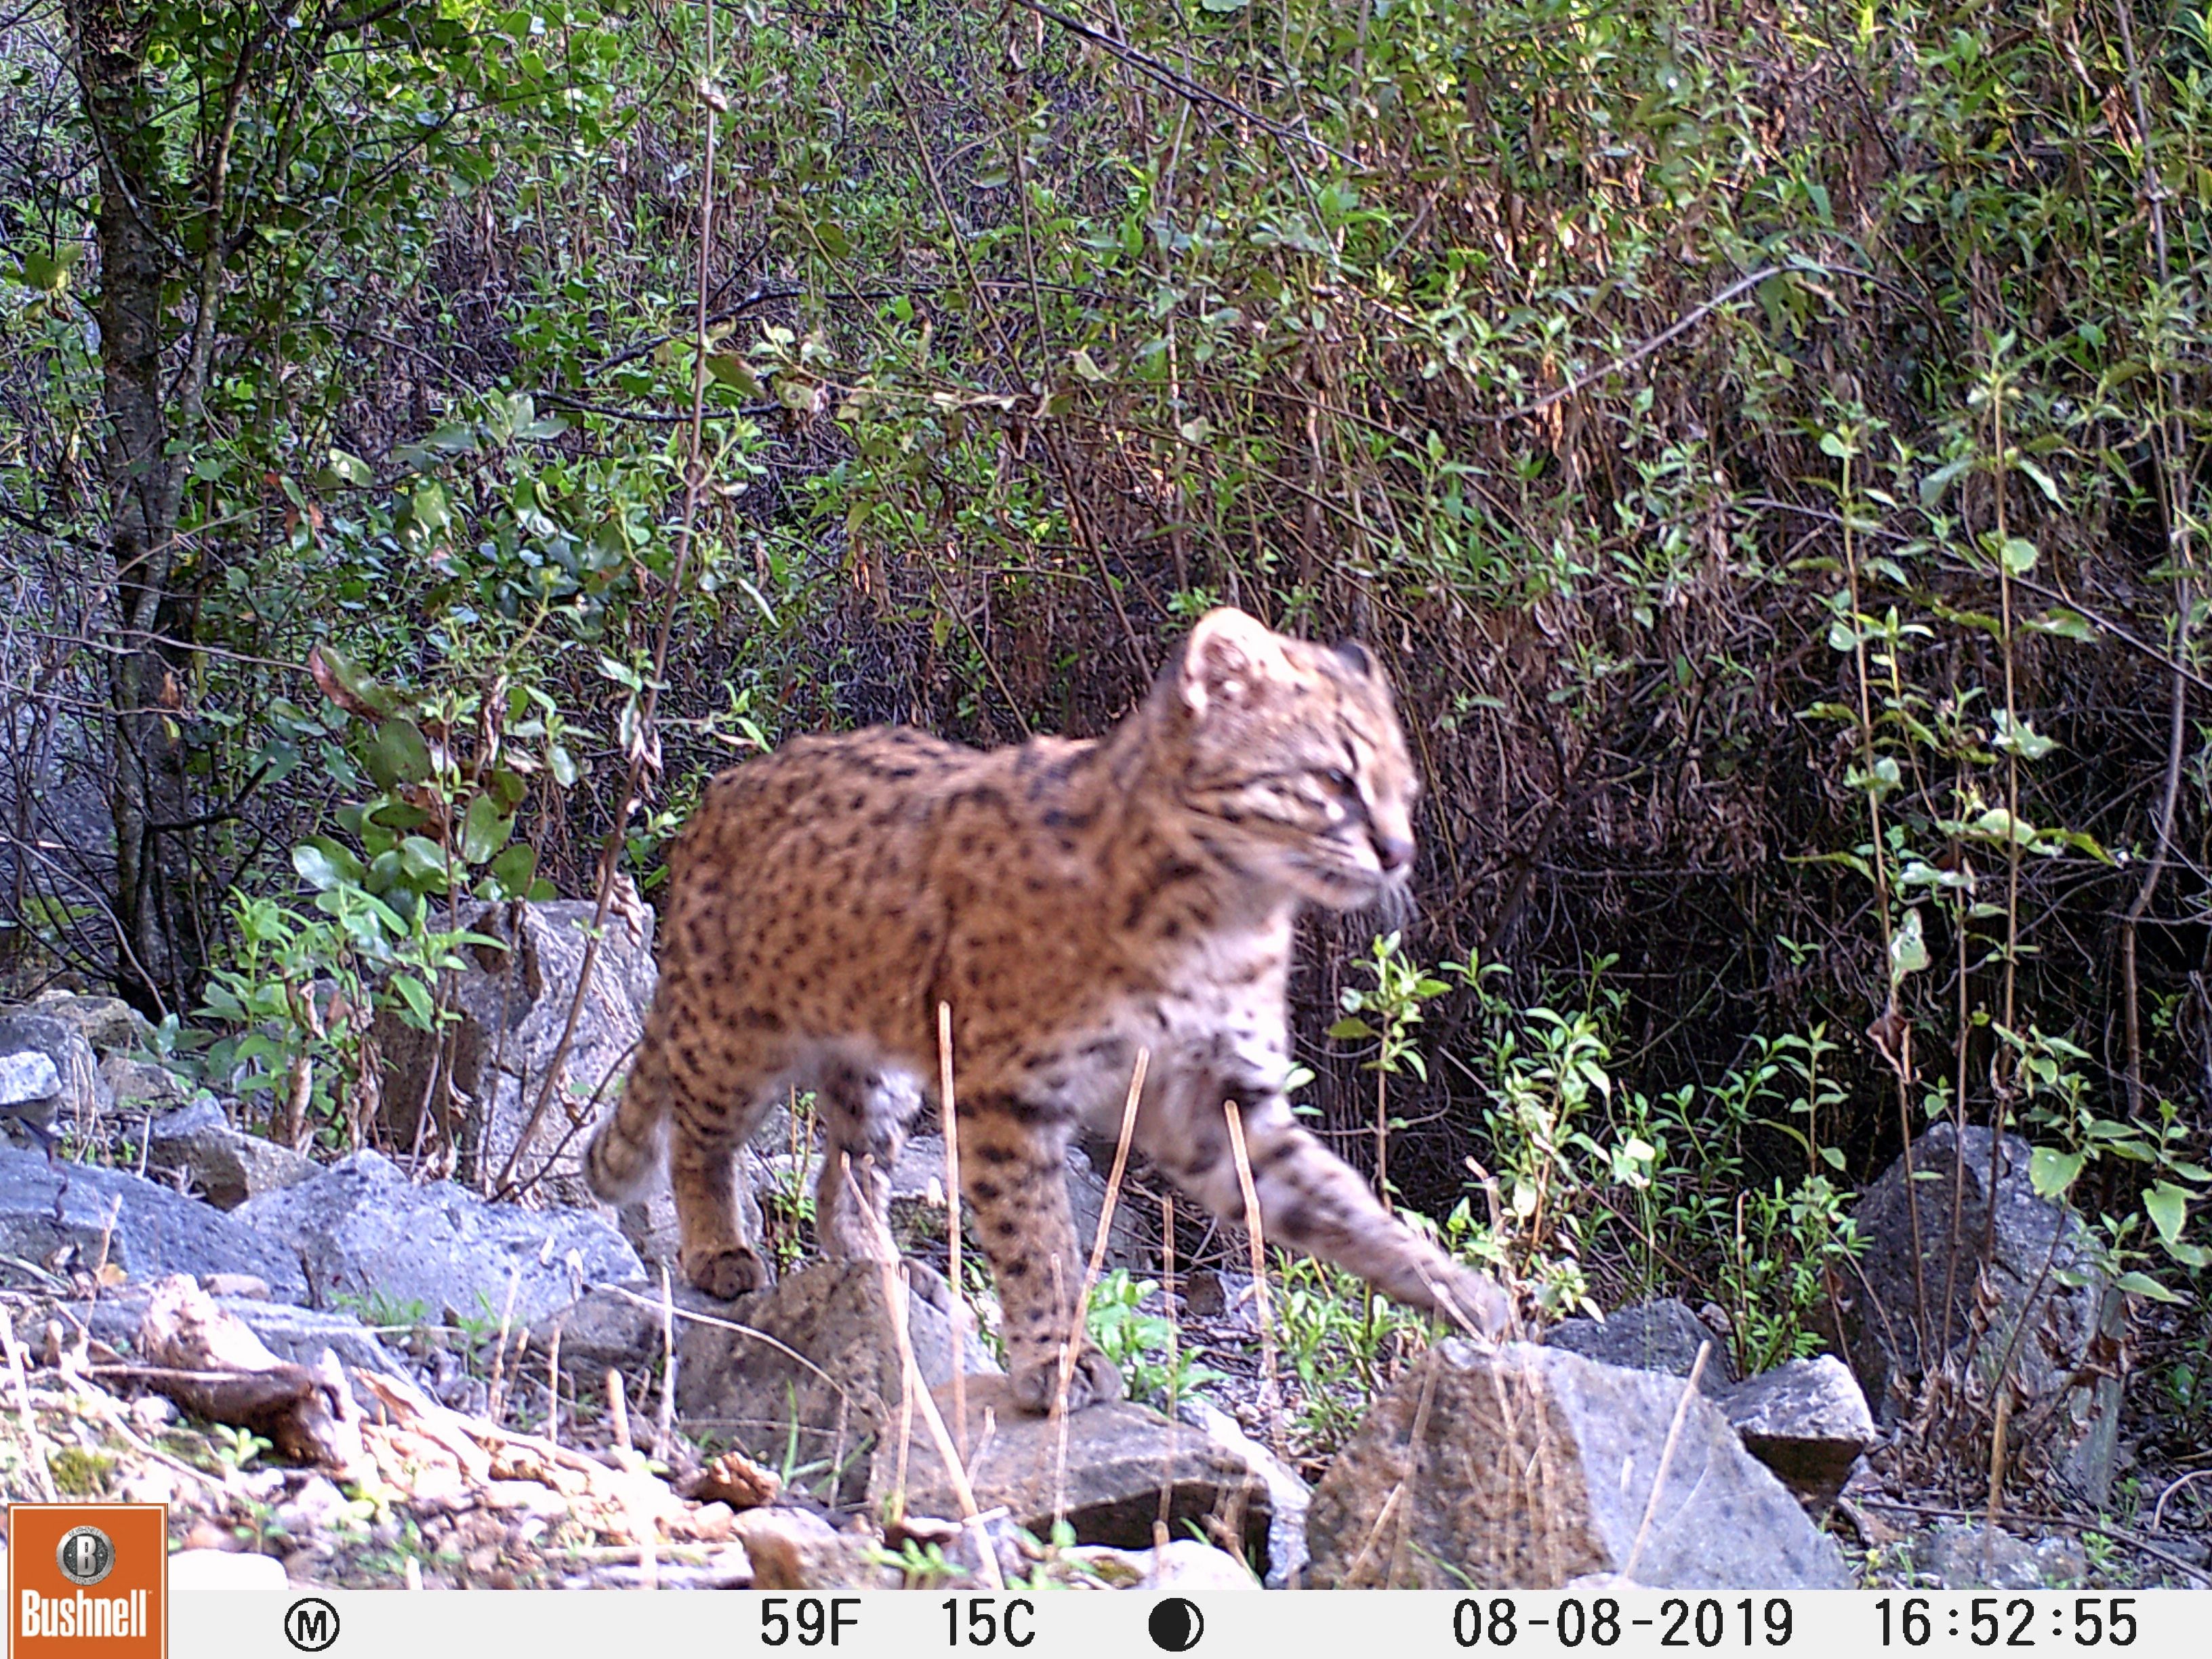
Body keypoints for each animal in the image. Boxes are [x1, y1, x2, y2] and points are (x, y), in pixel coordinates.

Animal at [583, 610, 1521, 1415]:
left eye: (1405, 791)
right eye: (1333, 779)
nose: (1399, 852)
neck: (1227, 913)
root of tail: (723, 789)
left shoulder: (1217, 1097)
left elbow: (1337, 1200)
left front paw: (1459, 1293)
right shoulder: (1011, 1089)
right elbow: (1038, 1235)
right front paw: (1058, 1357)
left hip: (884, 1065)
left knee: (845, 1168)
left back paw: (877, 1265)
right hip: (733, 1032)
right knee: (700, 1139)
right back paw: (719, 1250)